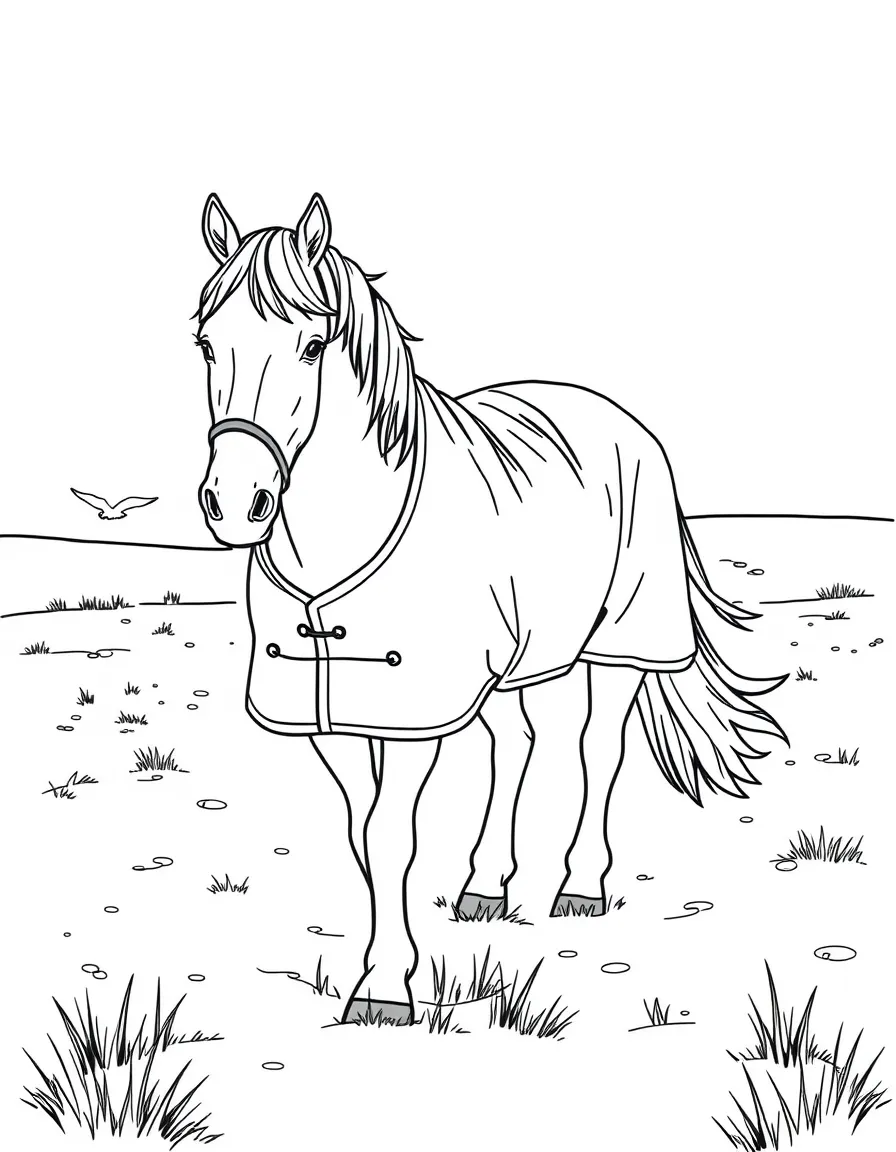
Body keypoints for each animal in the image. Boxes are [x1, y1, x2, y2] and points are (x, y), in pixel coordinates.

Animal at [194, 192, 787, 1026]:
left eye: (312, 345)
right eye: (208, 346)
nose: (234, 503)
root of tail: (611, 413)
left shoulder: (412, 714)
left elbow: (390, 836)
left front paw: (384, 988)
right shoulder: (327, 717)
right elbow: (361, 834)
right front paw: (390, 959)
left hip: (622, 644)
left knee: (599, 749)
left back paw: (580, 886)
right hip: (513, 660)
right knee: (517, 745)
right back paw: (485, 887)